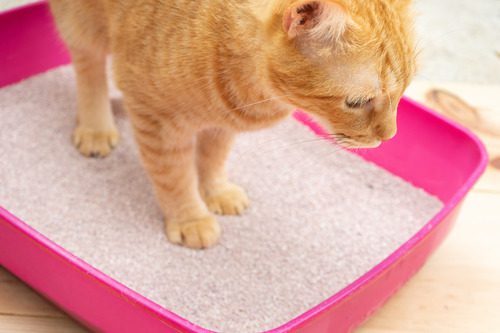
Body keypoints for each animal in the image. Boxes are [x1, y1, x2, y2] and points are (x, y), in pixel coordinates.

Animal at [49, 0, 418, 248]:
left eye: (403, 92)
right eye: (356, 102)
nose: (390, 136)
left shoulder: (222, 124)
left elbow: (212, 158)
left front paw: (215, 191)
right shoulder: (158, 122)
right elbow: (174, 177)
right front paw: (190, 216)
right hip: (82, 22)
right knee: (89, 68)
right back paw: (96, 125)